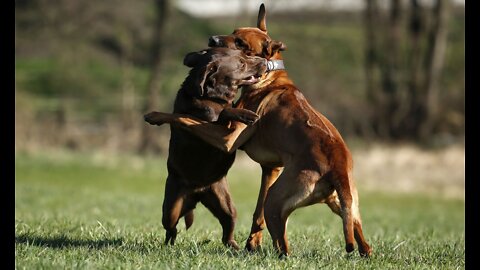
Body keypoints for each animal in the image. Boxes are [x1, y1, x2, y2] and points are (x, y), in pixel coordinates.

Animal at [144, 47, 268, 249]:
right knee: (171, 228)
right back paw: (170, 243)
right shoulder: (216, 131)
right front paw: (245, 114)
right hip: (170, 209)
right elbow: (223, 112)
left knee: (227, 230)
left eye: (244, 54)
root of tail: (198, 193)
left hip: (226, 206)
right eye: (241, 64)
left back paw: (234, 246)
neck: (211, 97)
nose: (264, 62)